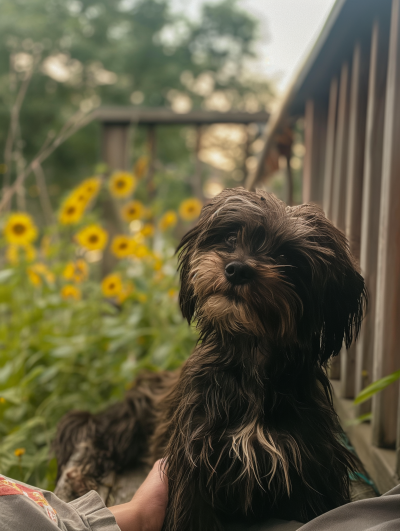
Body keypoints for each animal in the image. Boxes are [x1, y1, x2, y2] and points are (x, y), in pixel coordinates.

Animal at [54, 188, 368, 531]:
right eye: (230, 238)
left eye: (287, 257)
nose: (237, 269)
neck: (249, 359)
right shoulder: (194, 466)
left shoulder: (311, 470)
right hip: (136, 413)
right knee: (100, 433)